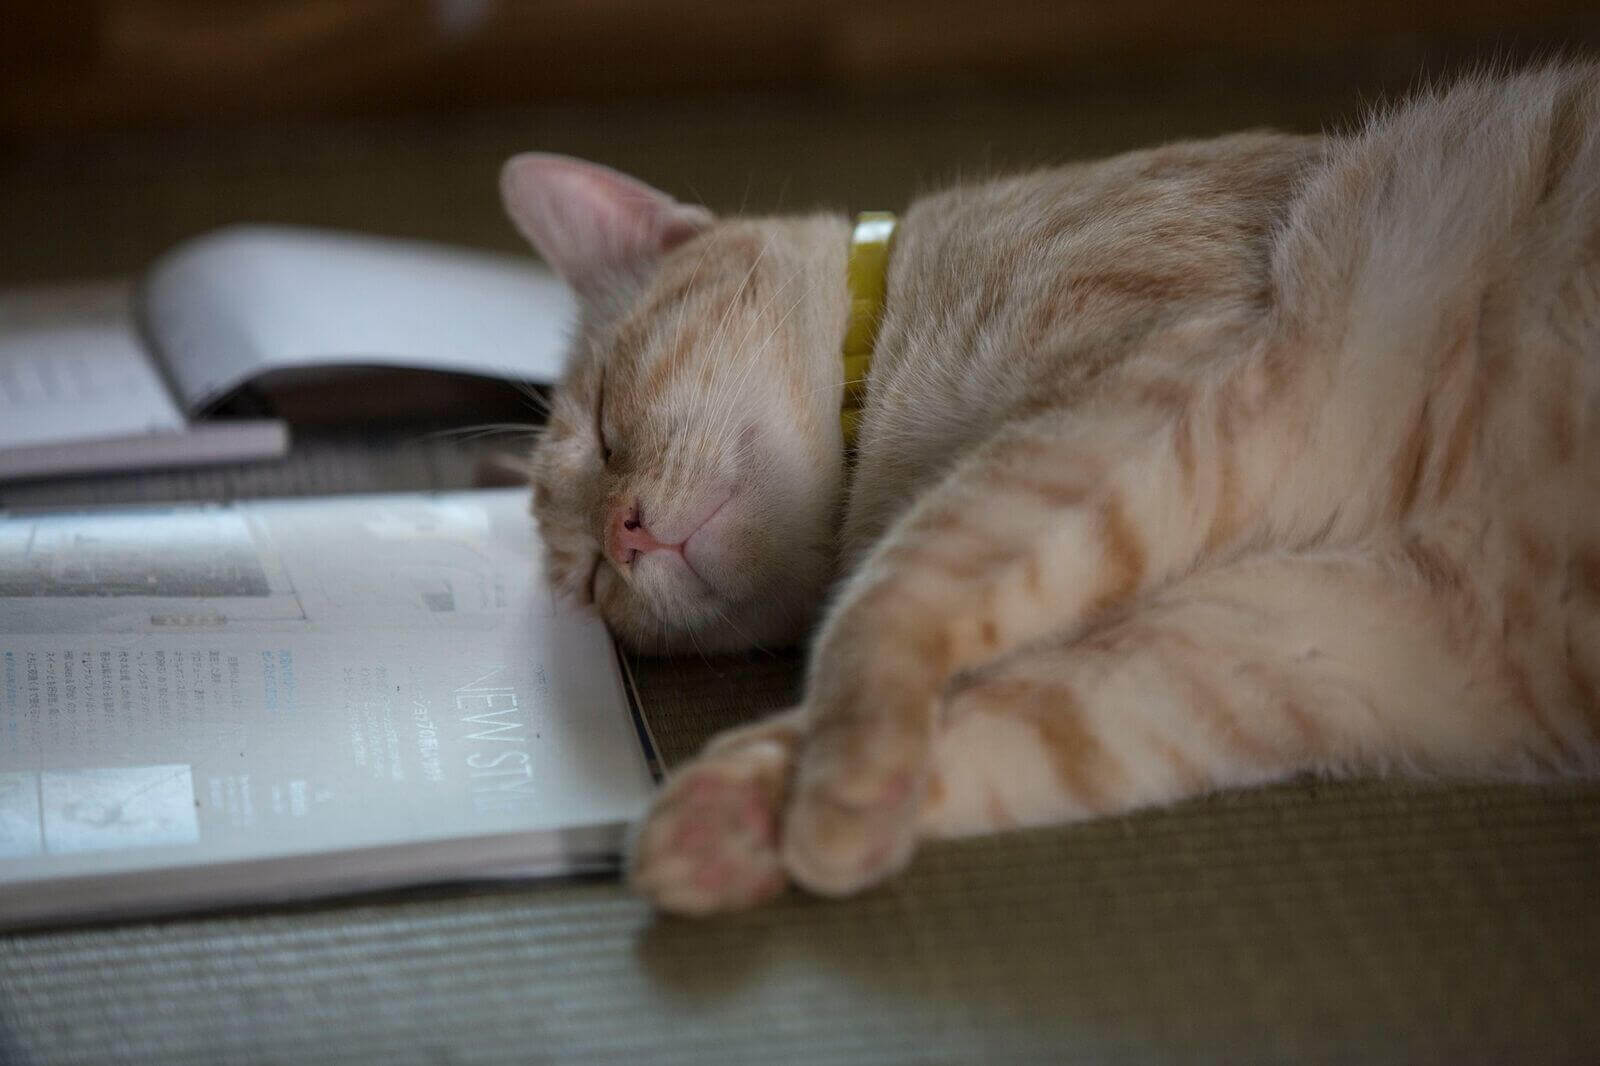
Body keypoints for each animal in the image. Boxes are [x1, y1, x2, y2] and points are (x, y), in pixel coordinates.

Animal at [502, 64, 1600, 915]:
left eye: (607, 428)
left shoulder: (1132, 398)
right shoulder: (1290, 646)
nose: (626, 536)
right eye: (592, 582)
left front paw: (825, 796)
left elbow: (882, 604)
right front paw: (733, 812)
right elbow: (1022, 716)